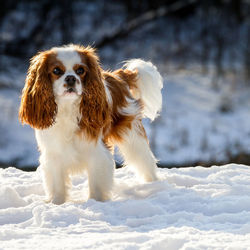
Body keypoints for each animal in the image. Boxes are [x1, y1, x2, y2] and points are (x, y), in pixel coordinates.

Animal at [20, 44, 164, 205]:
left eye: (80, 71)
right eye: (56, 70)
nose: (71, 78)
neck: (68, 108)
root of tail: (119, 76)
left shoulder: (97, 152)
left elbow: (96, 183)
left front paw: (96, 201)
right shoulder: (53, 155)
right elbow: (57, 185)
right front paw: (57, 203)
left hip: (133, 137)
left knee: (145, 162)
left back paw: (153, 185)